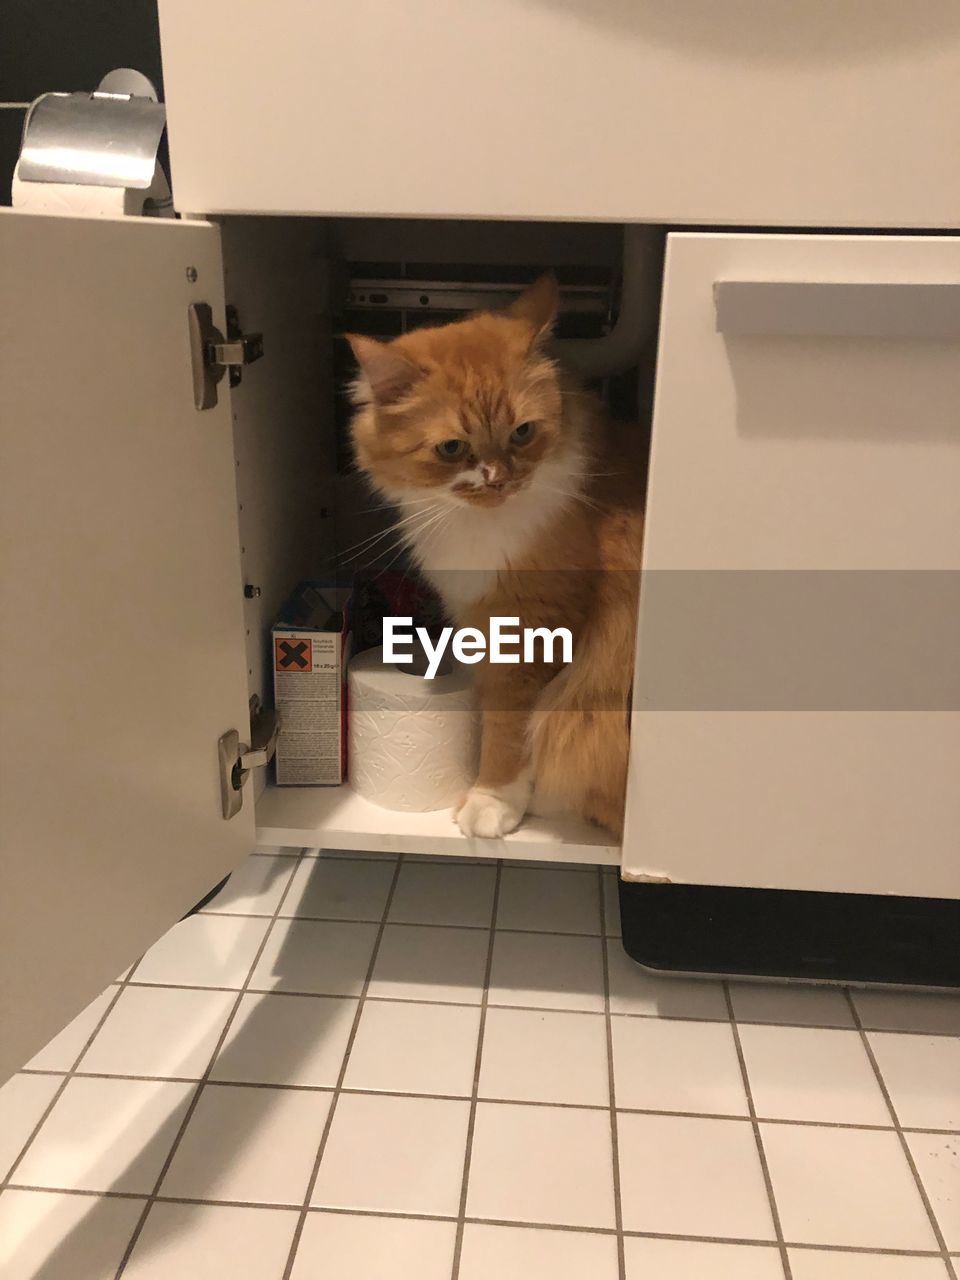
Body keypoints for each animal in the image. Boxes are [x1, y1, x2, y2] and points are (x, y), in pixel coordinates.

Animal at [350, 276, 642, 839]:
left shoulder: (530, 628)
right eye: (451, 448)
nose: (499, 480)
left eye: (522, 433)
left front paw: (494, 802)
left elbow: (508, 729)